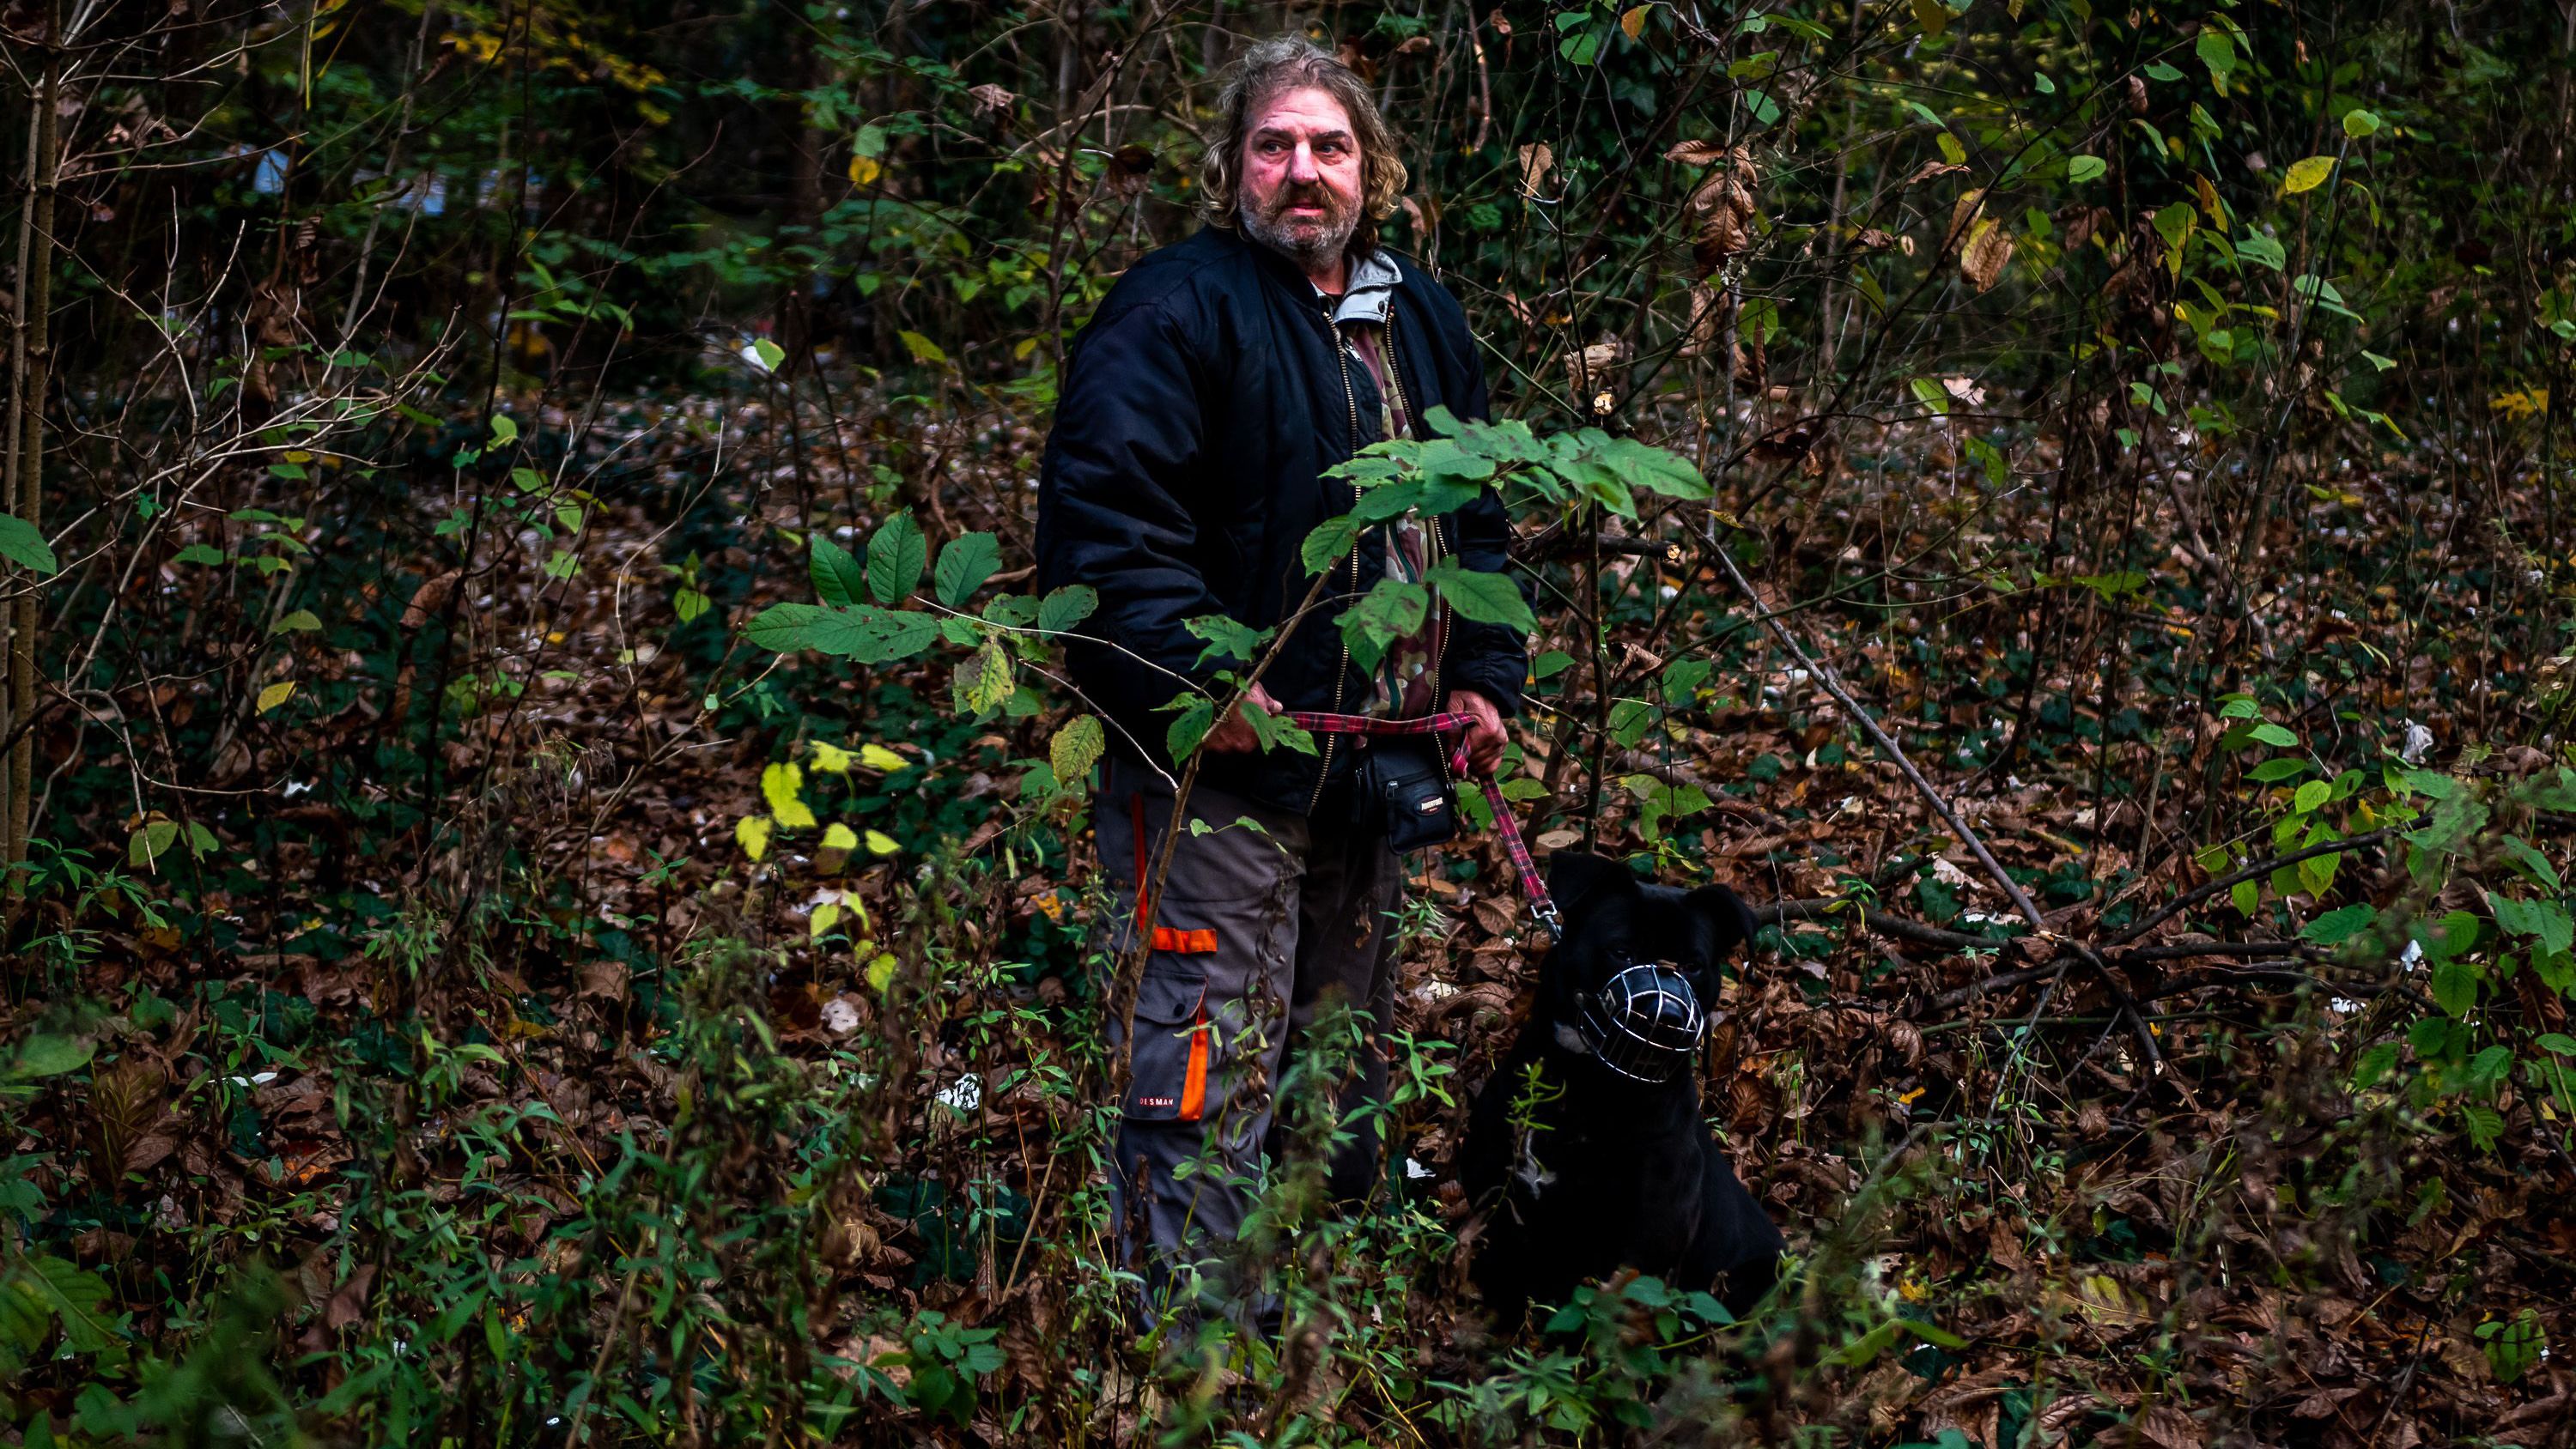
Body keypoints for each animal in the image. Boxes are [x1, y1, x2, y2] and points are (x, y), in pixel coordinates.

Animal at [1463, 854, 1783, 1318]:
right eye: (1620, 951)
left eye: (1693, 965)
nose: (1666, 1017)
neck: (1588, 1083)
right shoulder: (1493, 1190)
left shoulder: (1652, 1230)